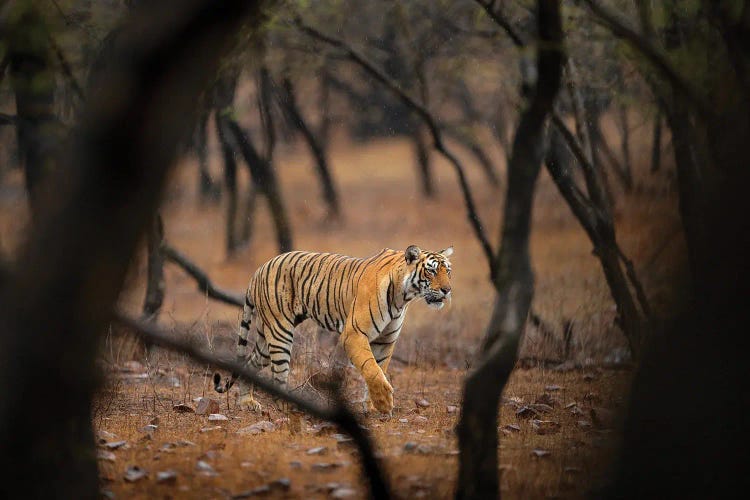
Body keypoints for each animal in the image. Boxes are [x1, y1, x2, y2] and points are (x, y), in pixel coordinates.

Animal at [214, 244, 456, 412]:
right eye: (431, 271)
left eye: (448, 271)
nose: (447, 290)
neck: (403, 296)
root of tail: (259, 269)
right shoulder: (354, 333)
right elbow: (371, 368)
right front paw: (384, 403)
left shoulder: (385, 340)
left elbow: (380, 369)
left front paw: (373, 406)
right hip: (280, 332)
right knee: (278, 373)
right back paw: (285, 406)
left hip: (267, 336)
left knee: (250, 362)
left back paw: (247, 402)